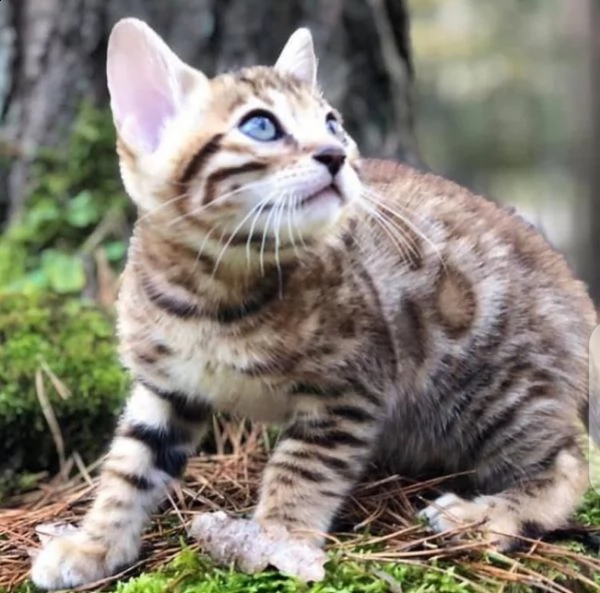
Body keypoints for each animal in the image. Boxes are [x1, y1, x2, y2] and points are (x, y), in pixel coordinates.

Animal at [31, 17, 596, 588]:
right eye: (261, 125)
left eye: (332, 124)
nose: (337, 155)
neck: (212, 295)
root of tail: (578, 295)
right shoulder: (166, 389)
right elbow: (129, 466)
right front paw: (93, 545)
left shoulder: (349, 390)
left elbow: (301, 470)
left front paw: (277, 541)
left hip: (494, 389)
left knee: (571, 460)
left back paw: (485, 515)